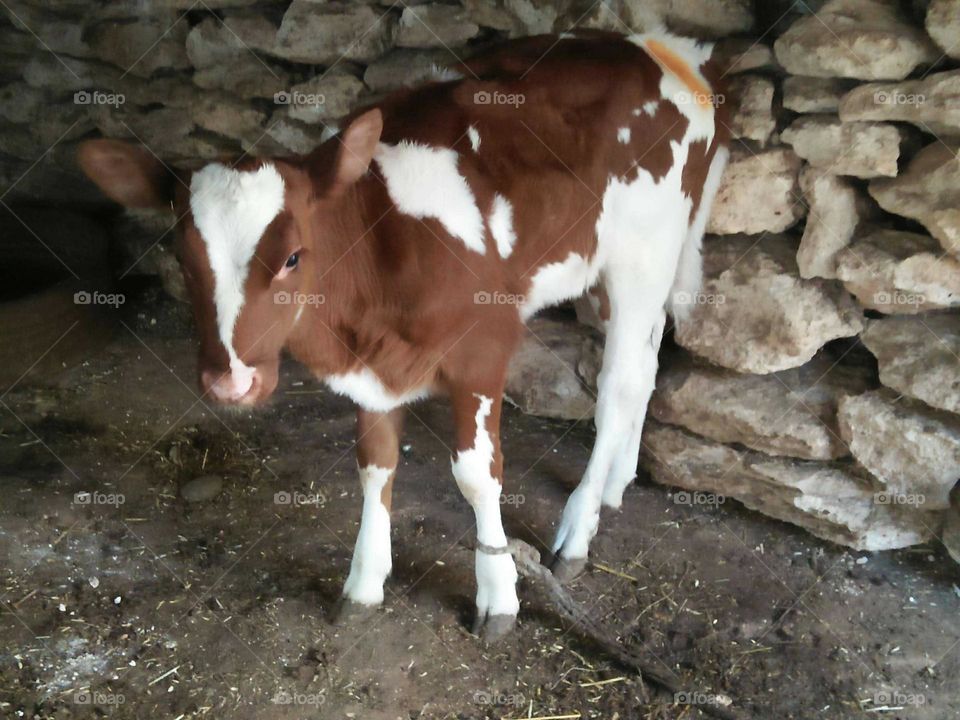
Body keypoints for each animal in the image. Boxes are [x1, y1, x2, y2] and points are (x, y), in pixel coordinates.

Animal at [78, 29, 730, 642]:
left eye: (292, 257)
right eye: (181, 256)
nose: (230, 381)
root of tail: (661, 47)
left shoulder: (483, 349)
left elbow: (476, 476)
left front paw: (498, 594)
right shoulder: (372, 367)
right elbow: (375, 461)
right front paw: (365, 581)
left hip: (643, 256)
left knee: (619, 387)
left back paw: (577, 531)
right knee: (646, 365)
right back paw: (618, 482)